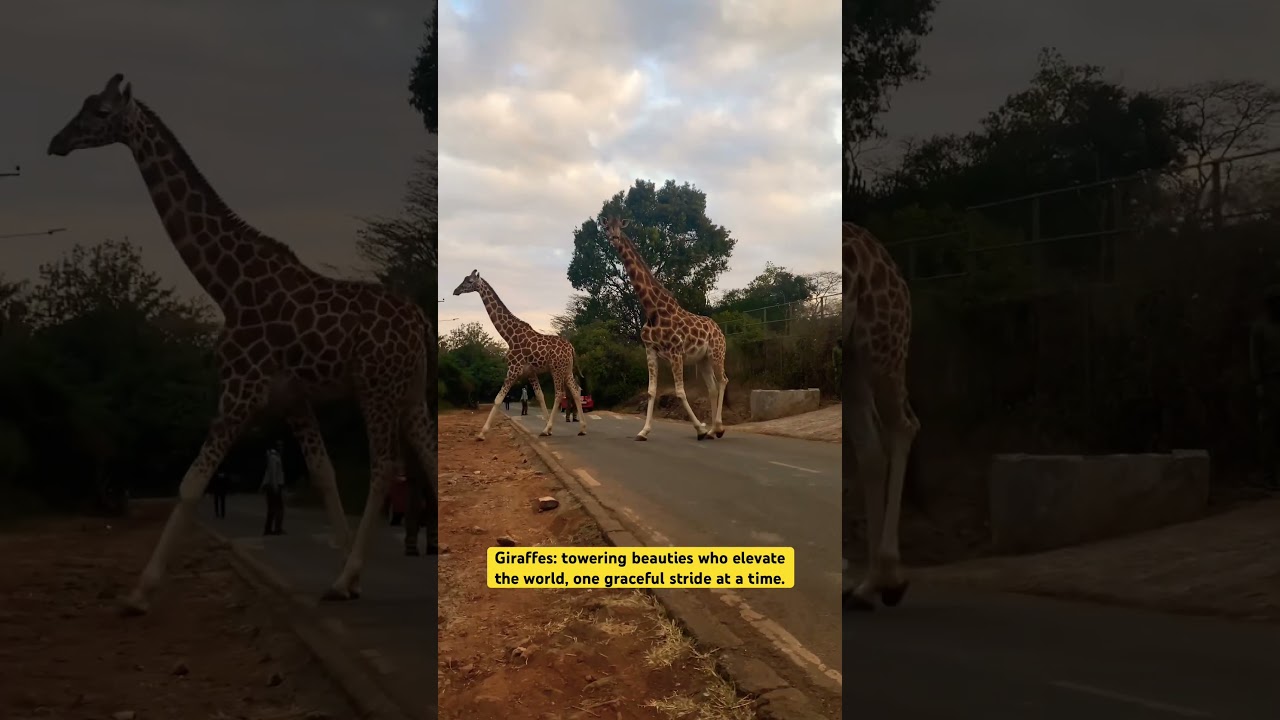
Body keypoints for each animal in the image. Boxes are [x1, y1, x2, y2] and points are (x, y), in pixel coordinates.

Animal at [46, 73, 439, 614]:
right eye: (83, 104)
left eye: (101, 112)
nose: (56, 142)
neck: (226, 285)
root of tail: (419, 320)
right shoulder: (293, 399)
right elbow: (324, 475)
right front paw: (351, 574)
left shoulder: (239, 390)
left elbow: (191, 482)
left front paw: (139, 593)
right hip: (410, 389)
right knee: (430, 457)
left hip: (376, 387)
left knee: (386, 467)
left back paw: (344, 579)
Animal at [452, 270, 587, 440]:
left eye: (469, 281)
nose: (455, 291)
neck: (508, 336)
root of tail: (571, 348)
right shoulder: (530, 372)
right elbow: (540, 396)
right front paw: (548, 429)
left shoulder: (513, 369)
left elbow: (498, 399)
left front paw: (482, 433)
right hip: (567, 369)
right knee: (575, 391)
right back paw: (582, 428)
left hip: (556, 369)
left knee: (560, 393)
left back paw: (553, 428)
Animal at [601, 217, 727, 441]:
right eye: (606, 227)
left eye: (620, 227)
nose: (614, 238)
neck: (652, 310)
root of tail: (719, 331)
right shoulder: (650, 350)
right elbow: (652, 391)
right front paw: (643, 431)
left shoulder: (676, 352)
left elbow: (680, 392)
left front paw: (700, 429)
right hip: (703, 359)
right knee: (712, 388)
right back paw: (714, 429)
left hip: (717, 353)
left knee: (723, 381)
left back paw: (718, 429)